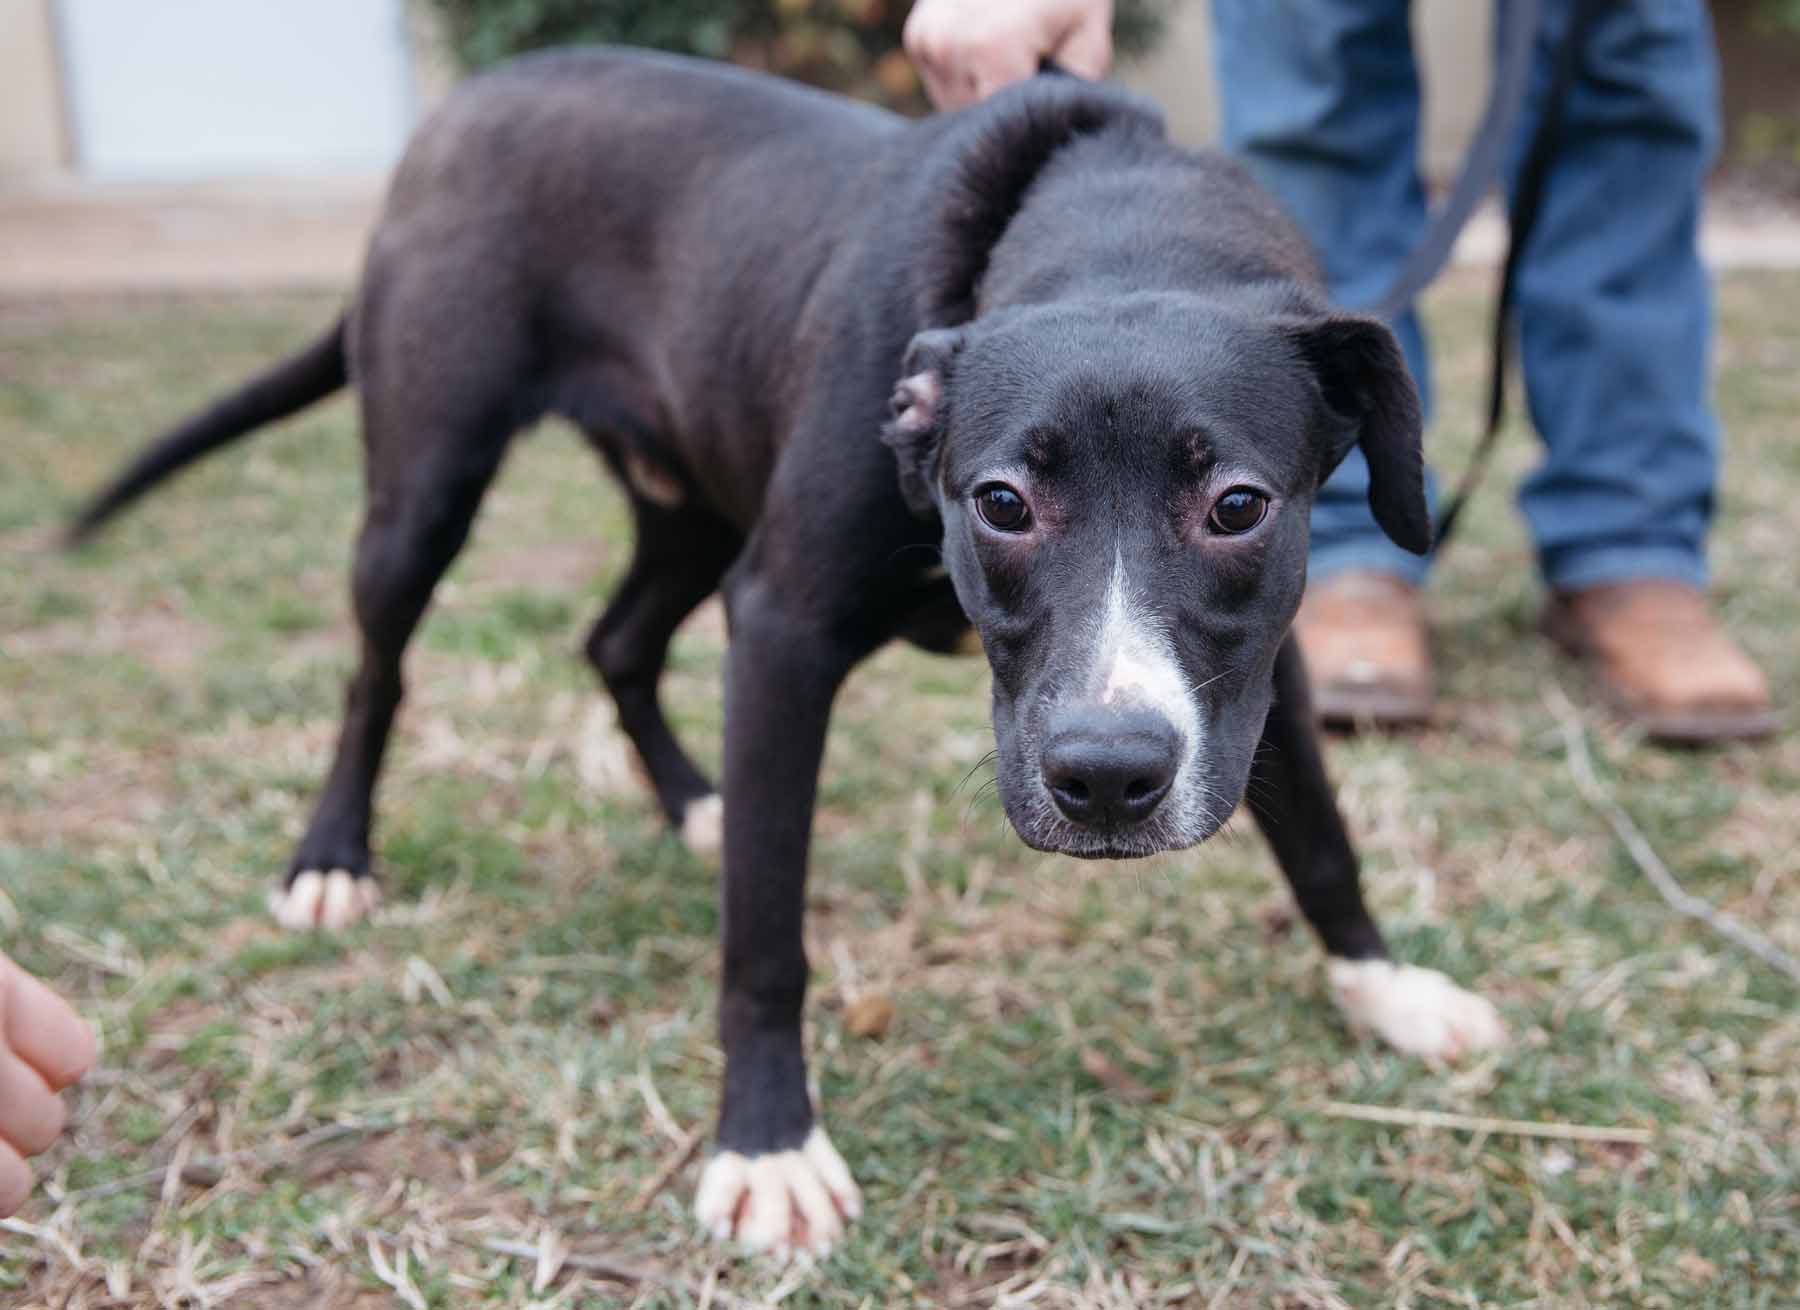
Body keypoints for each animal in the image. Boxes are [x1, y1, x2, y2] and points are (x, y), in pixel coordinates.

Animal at [73, 48, 1504, 1259]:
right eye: (1001, 501)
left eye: (1239, 505)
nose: (1106, 777)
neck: (1118, 227)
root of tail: (467, 102)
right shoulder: (781, 627)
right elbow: (765, 931)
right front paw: (766, 1147)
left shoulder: (1257, 675)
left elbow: (1321, 834)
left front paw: (1386, 986)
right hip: (427, 484)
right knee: (379, 670)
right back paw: (333, 858)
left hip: (694, 505)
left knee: (615, 638)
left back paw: (693, 801)